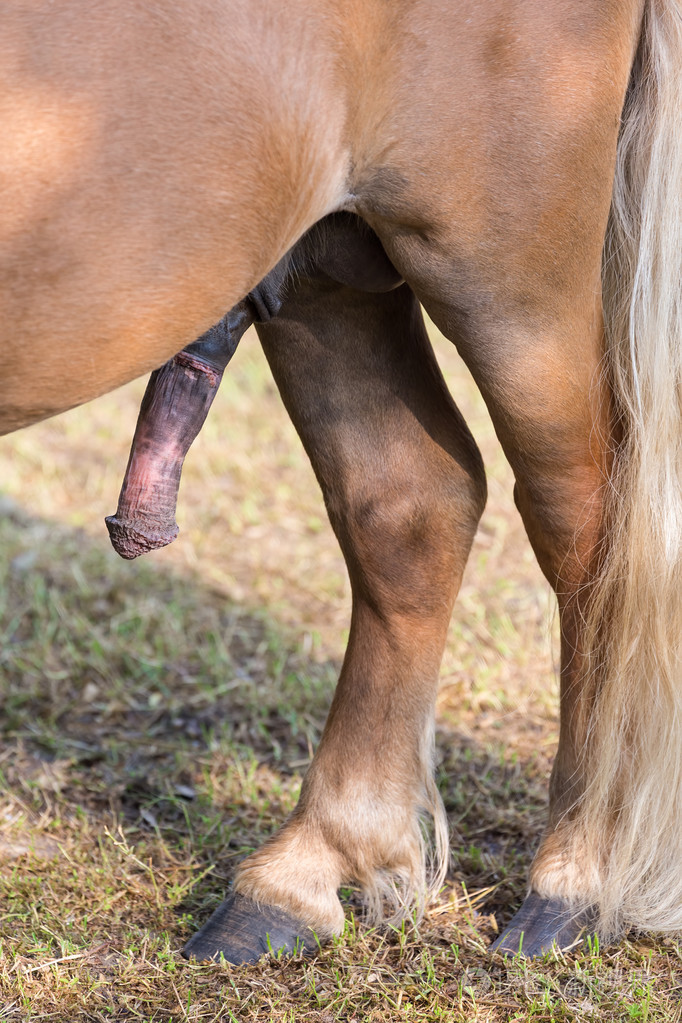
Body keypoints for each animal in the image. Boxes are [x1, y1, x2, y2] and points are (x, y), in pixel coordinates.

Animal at [2, 0, 682, 962]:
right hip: (326, 254)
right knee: (410, 502)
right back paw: (301, 873)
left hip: (506, 265)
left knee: (589, 521)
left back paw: (576, 875)